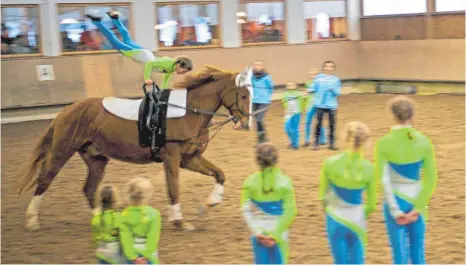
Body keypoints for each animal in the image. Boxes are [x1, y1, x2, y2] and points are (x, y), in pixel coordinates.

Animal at [17, 65, 251, 230]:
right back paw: (32, 221)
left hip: (96, 159)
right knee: (44, 180)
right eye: (243, 95)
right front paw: (179, 221)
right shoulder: (172, 158)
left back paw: (101, 221)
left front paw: (211, 203)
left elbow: (220, 174)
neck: (187, 112)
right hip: (61, 152)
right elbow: (173, 188)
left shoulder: (189, 159)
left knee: (89, 189)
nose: (246, 124)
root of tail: (66, 111)